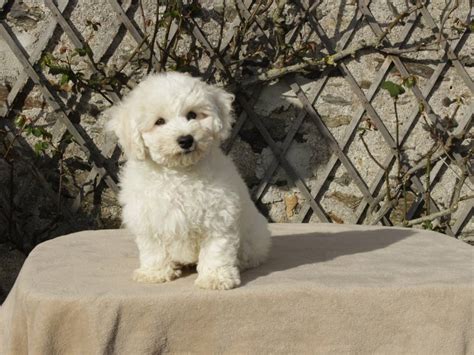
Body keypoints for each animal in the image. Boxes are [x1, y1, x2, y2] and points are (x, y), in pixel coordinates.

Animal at [106, 73, 272, 292]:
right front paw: (154, 273)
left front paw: (215, 278)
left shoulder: (219, 217)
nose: (186, 139)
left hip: (254, 235)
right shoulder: (148, 218)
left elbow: (216, 250)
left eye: (192, 115)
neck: (180, 173)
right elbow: (154, 249)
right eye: (159, 121)